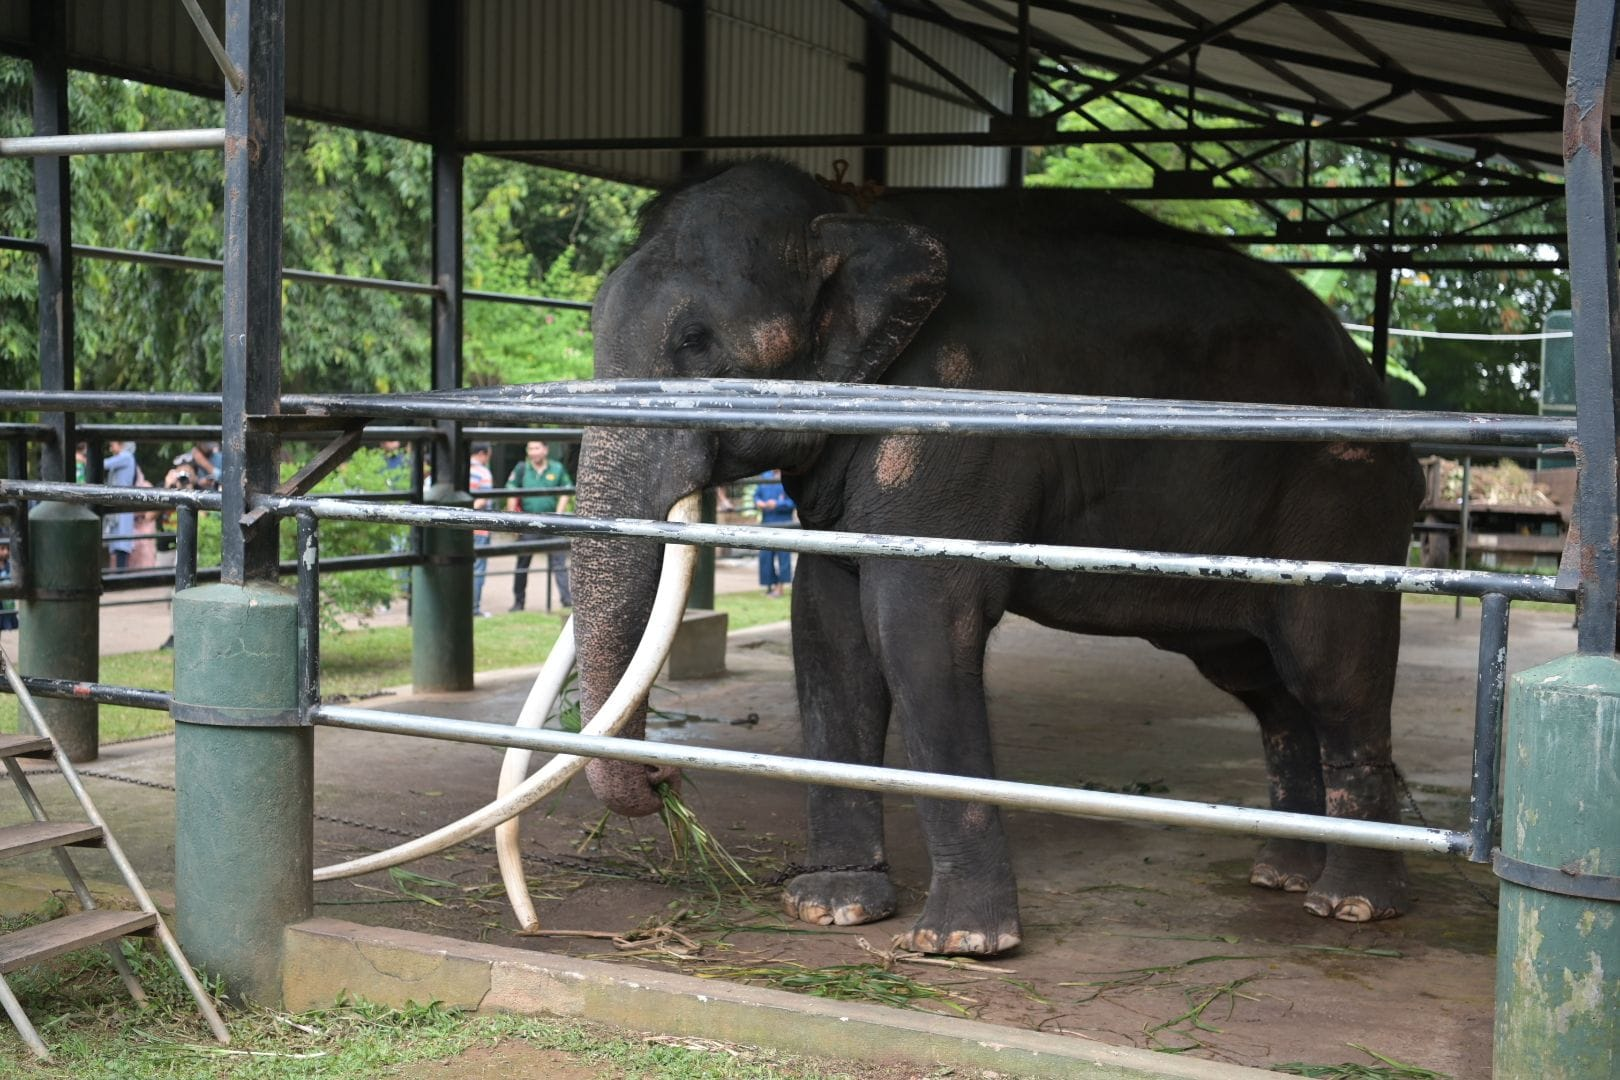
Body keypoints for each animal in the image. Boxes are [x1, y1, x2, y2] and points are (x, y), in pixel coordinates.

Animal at [571, 159, 1424, 957]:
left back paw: (1350, 903)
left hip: (1344, 502)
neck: (853, 209)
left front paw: (962, 943)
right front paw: (832, 907)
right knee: (1266, 684)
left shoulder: (954, 422)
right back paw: (1282, 875)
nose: (666, 773)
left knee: (1330, 669)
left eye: (695, 343)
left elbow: (916, 626)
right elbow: (826, 631)